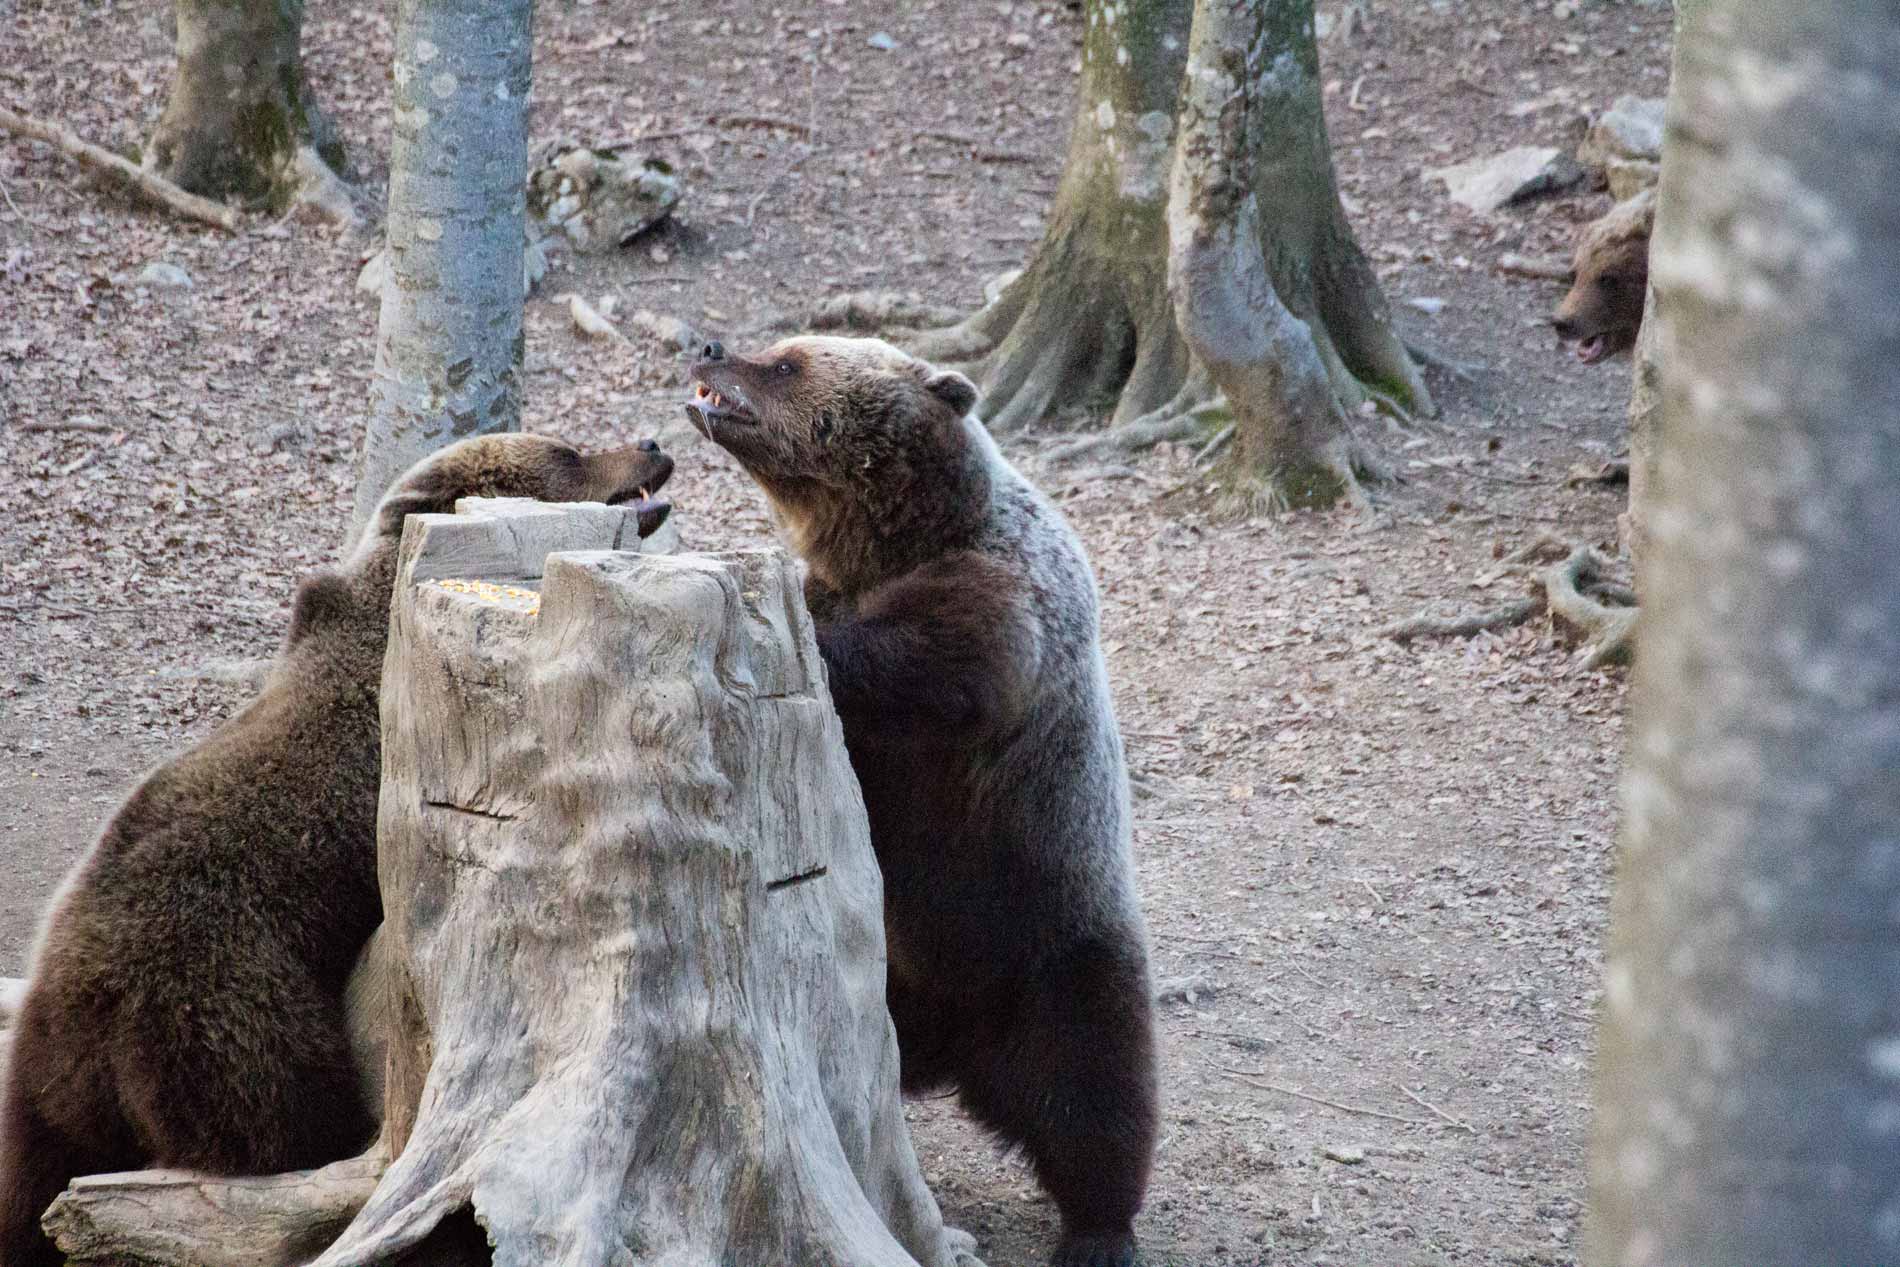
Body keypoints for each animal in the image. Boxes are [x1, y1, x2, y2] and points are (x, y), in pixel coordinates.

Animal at [0, 433, 680, 1267]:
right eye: (567, 452)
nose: (651, 445)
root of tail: (76, 1013)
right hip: (219, 994)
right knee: (286, 1107)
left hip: (47, 1090)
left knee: (32, 1179)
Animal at [687, 334, 1155, 1267]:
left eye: (788, 362)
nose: (713, 347)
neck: (891, 538)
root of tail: (958, 1040)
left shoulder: (1004, 598)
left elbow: (933, 655)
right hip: (881, 964)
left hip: (1048, 938)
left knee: (1097, 1086)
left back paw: (1099, 1227)